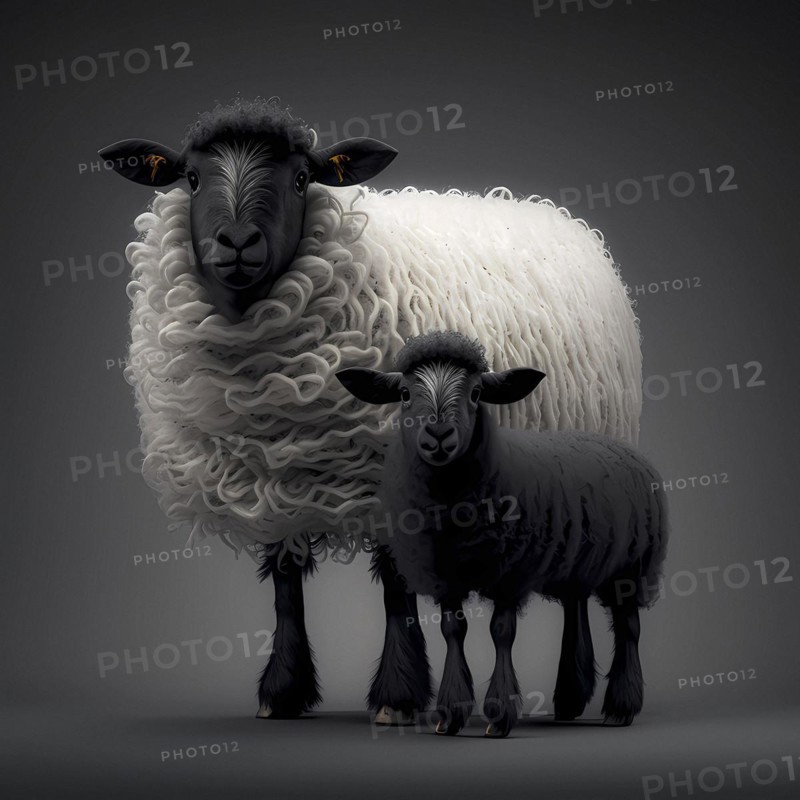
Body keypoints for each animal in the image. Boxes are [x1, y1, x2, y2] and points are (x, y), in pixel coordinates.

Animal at [99, 96, 643, 724]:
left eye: (302, 178)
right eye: (190, 176)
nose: (236, 243)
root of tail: (554, 216)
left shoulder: (387, 471)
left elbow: (394, 588)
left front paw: (397, 697)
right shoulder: (270, 476)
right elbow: (284, 581)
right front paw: (281, 692)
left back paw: (573, 696)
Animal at [336, 330, 668, 738]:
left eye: (477, 393)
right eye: (403, 393)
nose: (438, 436)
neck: (452, 508)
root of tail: (627, 449)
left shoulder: (511, 572)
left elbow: (501, 632)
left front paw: (498, 714)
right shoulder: (445, 575)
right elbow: (452, 630)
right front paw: (451, 714)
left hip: (633, 567)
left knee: (628, 628)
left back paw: (622, 707)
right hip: (578, 564)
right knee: (577, 609)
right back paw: (570, 701)